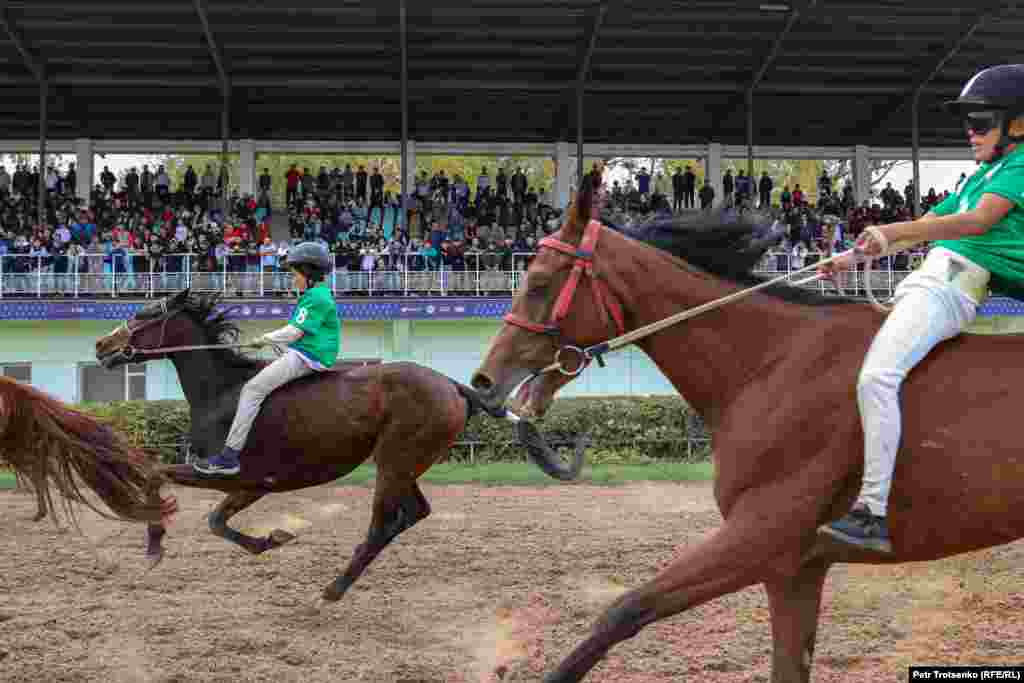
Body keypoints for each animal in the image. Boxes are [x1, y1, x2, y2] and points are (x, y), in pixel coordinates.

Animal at [4, 288, 585, 602]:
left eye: (146, 315)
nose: (102, 345)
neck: (225, 392)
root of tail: (452, 385)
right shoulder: (255, 483)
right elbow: (216, 521)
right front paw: (270, 540)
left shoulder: (237, 473)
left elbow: (158, 477)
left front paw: (154, 543)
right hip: (407, 462)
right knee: (413, 512)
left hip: (394, 459)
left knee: (385, 520)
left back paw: (334, 588)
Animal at [473, 183, 1024, 683]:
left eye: (540, 282)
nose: (483, 383)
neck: (773, 362)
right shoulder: (796, 572)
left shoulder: (759, 540)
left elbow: (625, 610)